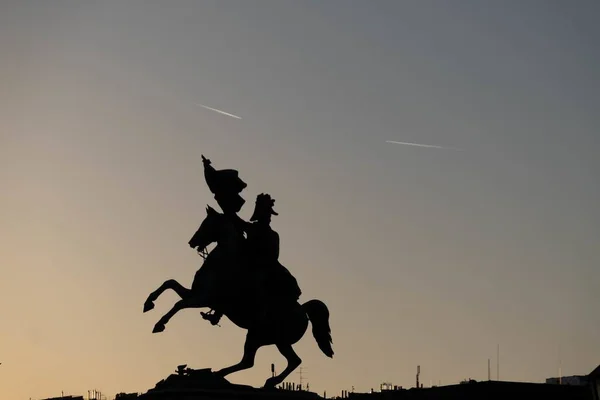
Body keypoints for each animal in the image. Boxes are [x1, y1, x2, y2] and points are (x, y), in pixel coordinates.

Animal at [144, 205, 336, 386]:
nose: (192, 242)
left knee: (280, 361)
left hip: (266, 337)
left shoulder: (203, 298)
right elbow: (169, 283)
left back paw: (261, 380)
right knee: (260, 361)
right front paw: (148, 303)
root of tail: (303, 311)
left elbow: (178, 304)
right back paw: (225, 374)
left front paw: (159, 324)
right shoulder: (196, 293)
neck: (223, 262)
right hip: (265, 338)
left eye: (207, 223)